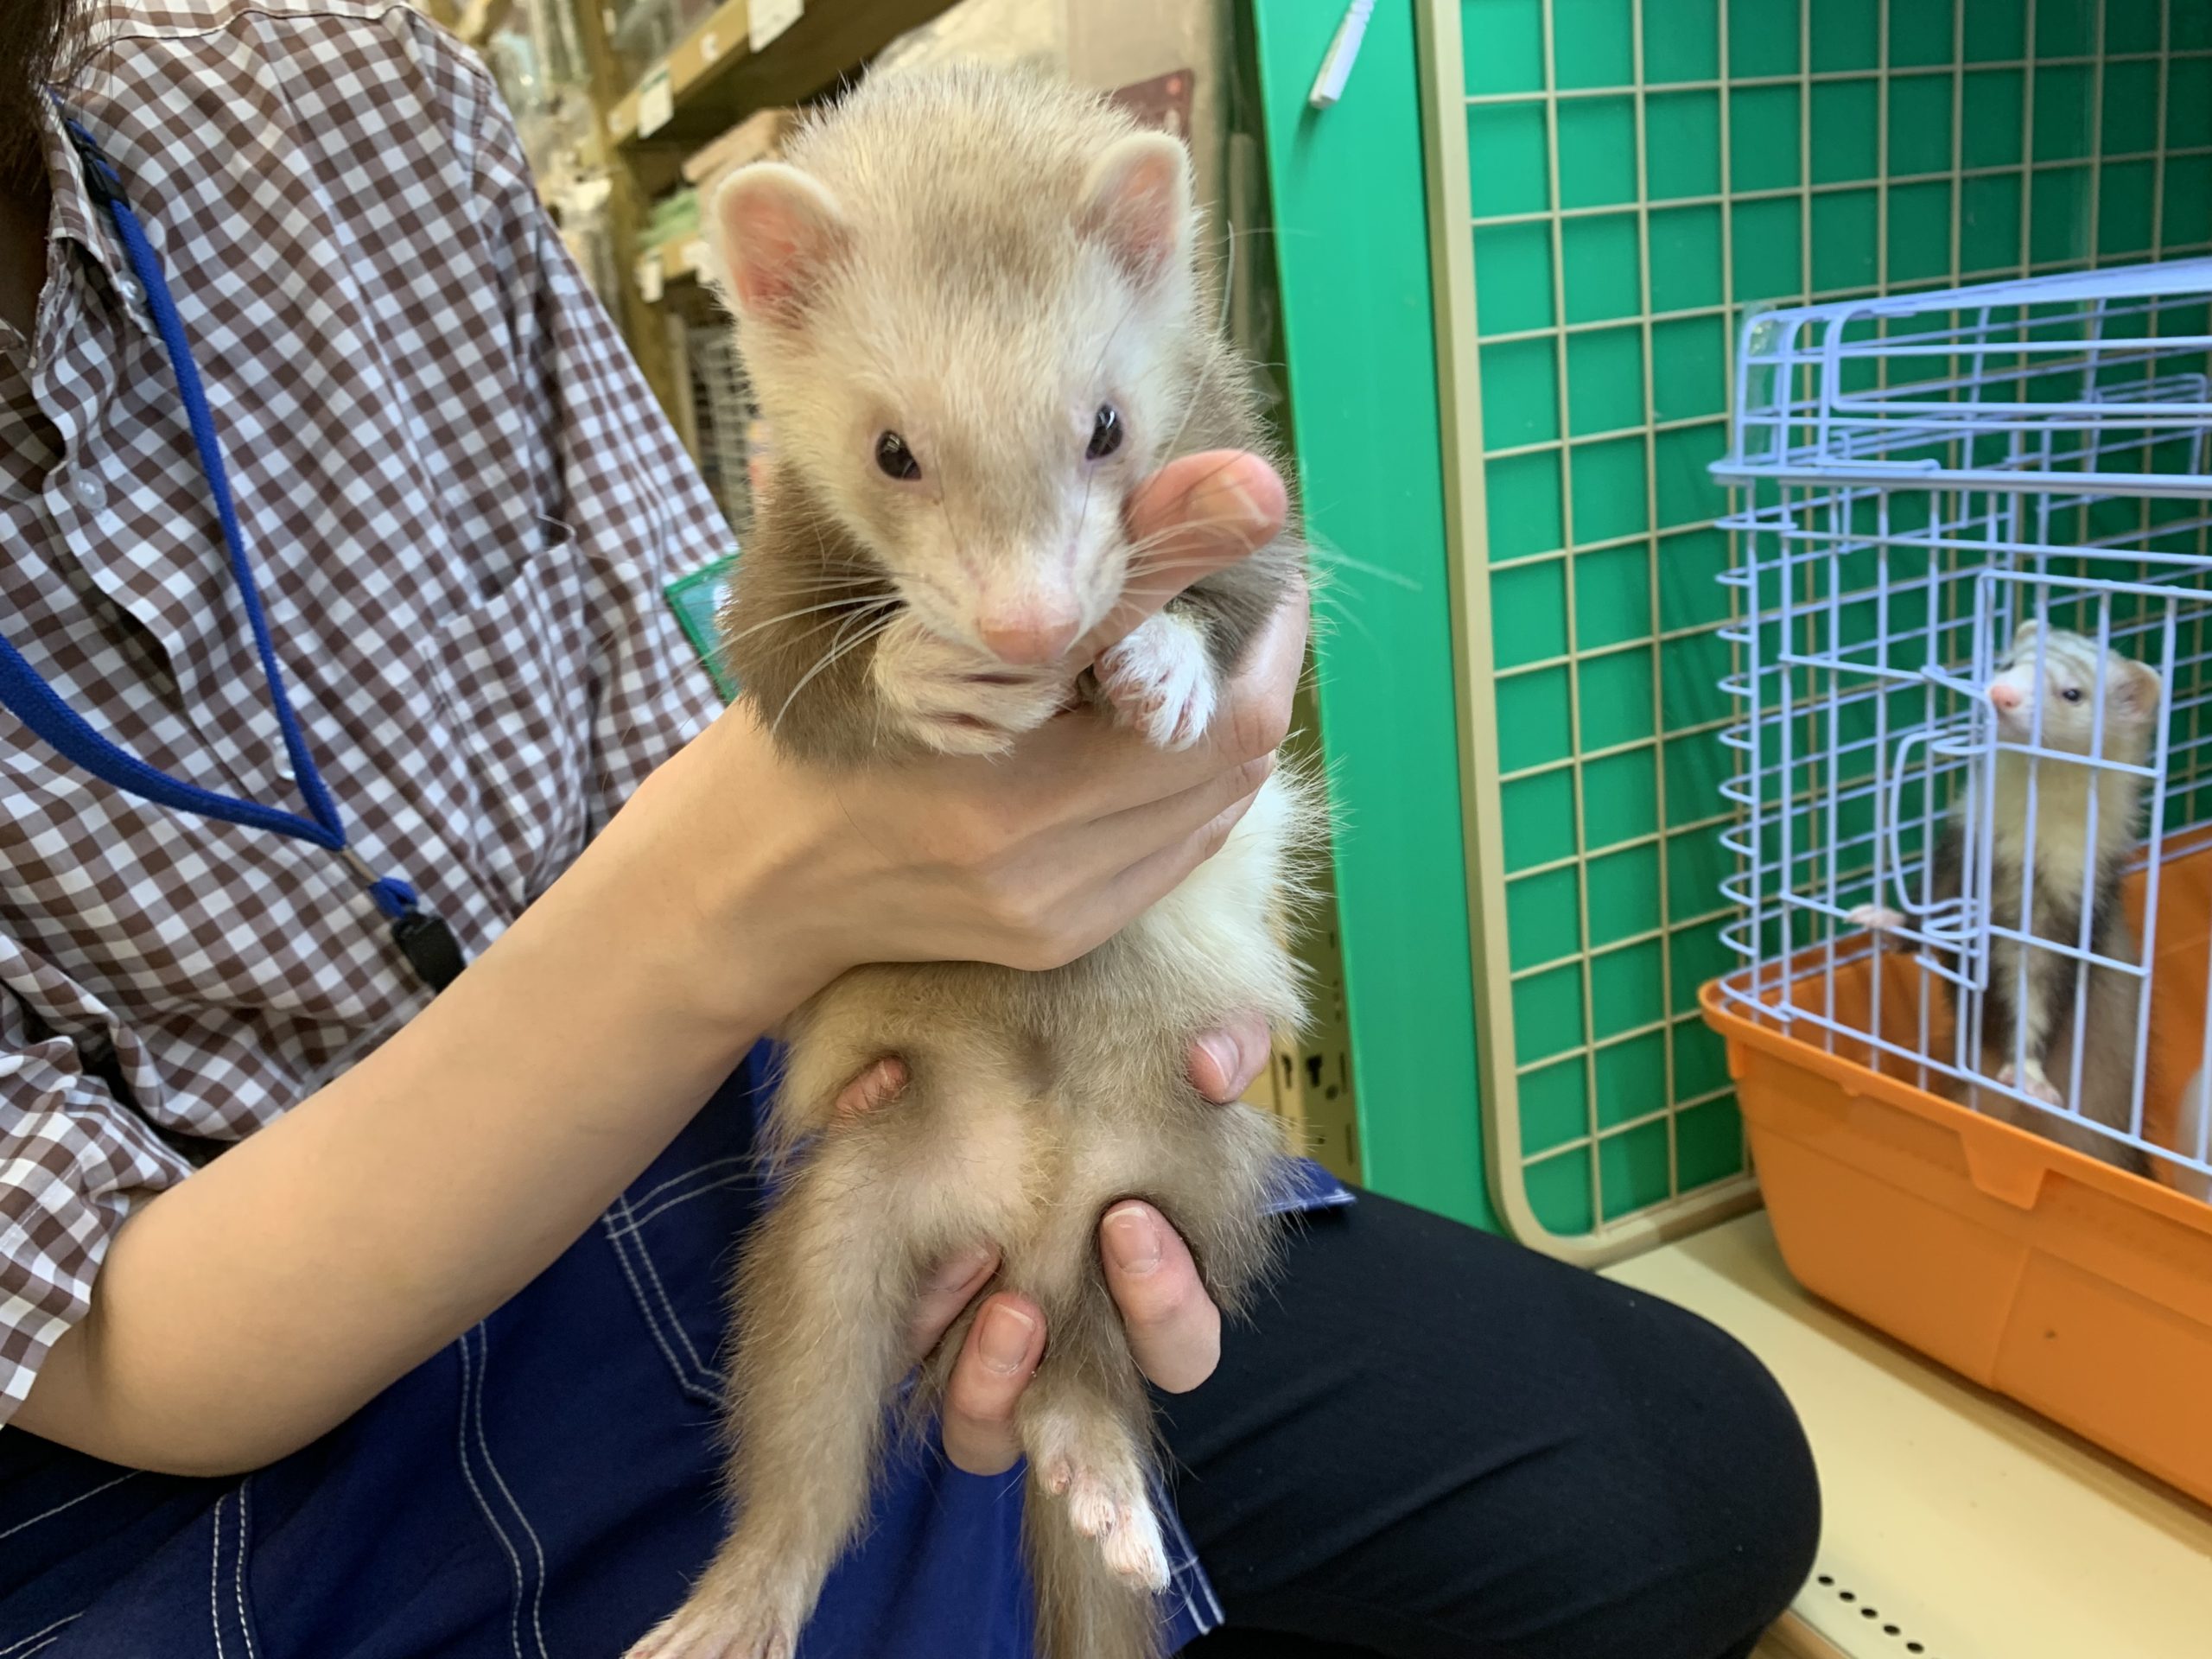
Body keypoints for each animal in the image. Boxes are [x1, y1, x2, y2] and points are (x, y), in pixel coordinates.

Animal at [627, 68, 1317, 1659]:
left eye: (1109, 421)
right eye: (893, 448)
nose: (1026, 625)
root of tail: (1040, 1226)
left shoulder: (1255, 479)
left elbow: (1245, 594)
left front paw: (1162, 662)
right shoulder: (768, 576)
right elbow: (795, 672)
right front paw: (923, 679)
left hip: (1187, 1199)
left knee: (1095, 1374)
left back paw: (1096, 1470)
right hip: (837, 1228)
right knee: (808, 1447)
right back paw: (736, 1606)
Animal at [1855, 620, 2160, 1174]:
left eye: (2073, 692)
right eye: (2007, 663)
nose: (2002, 693)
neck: (2022, 836)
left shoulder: (2061, 909)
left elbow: (2034, 994)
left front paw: (2028, 1075)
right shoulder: (1962, 854)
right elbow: (1928, 915)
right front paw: (1885, 918)